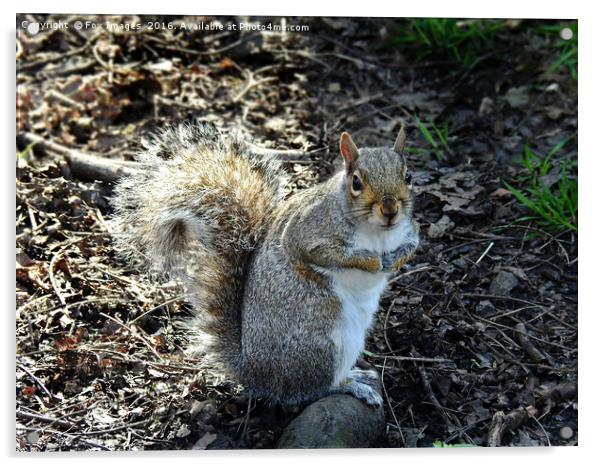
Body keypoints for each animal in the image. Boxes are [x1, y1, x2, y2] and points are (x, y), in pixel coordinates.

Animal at [111, 122, 418, 406]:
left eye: (408, 176)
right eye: (356, 182)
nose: (390, 210)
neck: (377, 232)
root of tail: (254, 372)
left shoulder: (408, 231)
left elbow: (412, 245)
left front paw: (395, 259)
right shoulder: (307, 232)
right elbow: (325, 254)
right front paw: (371, 261)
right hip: (324, 344)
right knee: (314, 389)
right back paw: (351, 384)